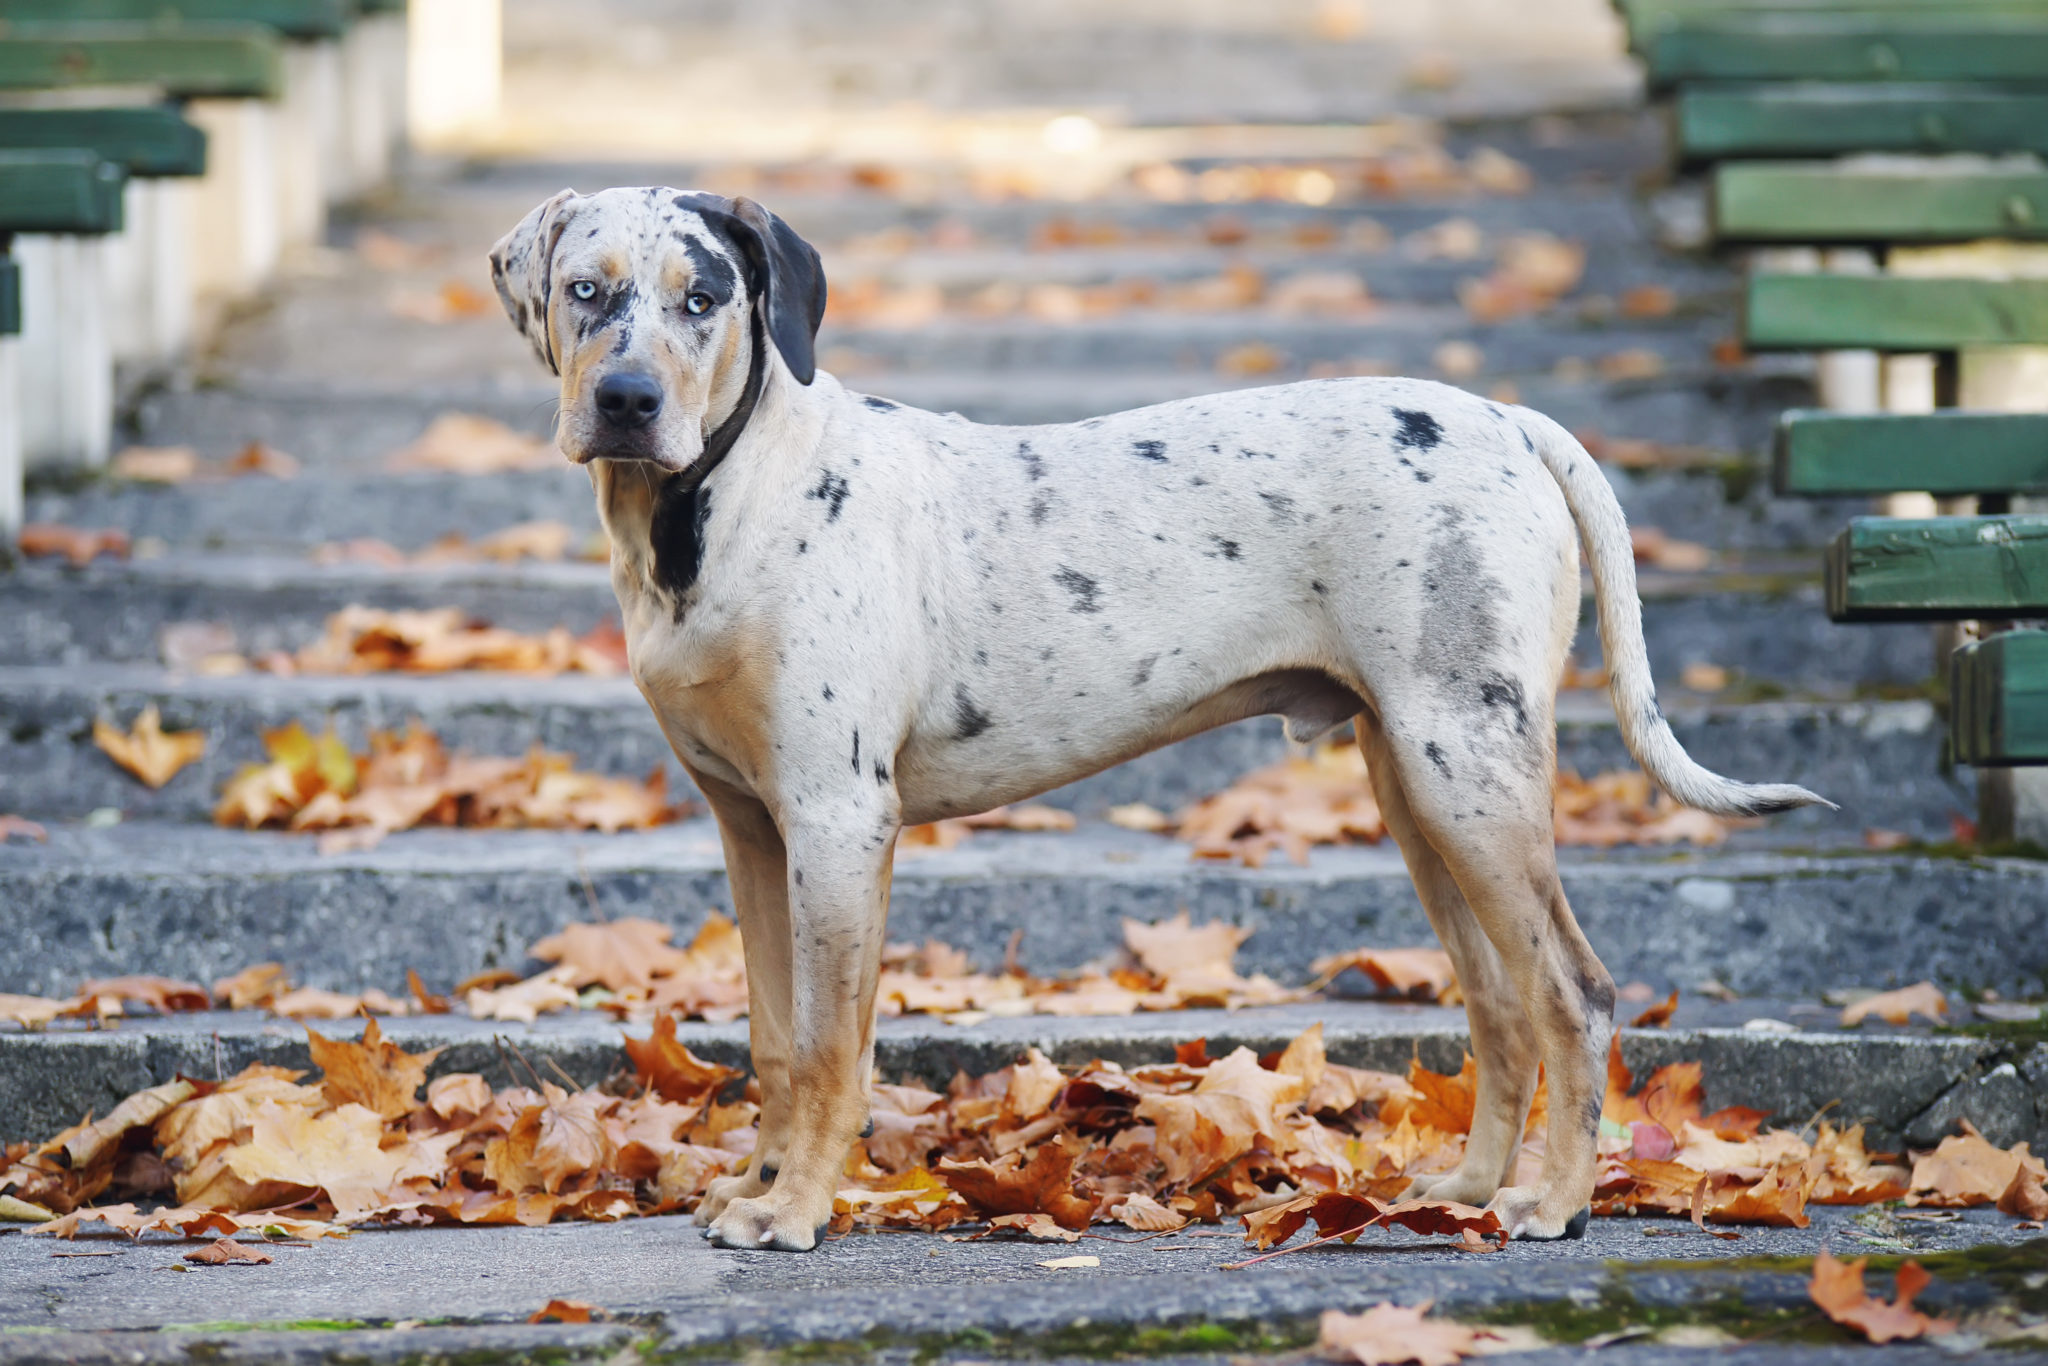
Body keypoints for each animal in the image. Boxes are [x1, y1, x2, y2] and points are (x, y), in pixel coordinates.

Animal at [487, 187, 1835, 1253]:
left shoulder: (834, 821)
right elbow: (773, 1039)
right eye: (585, 290)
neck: (716, 505)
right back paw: (1460, 1187)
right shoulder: (751, 830)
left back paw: (1552, 1203)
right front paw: (756, 1186)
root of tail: (1509, 422)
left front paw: (795, 1210)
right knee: (1500, 1001)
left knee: (1574, 991)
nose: (624, 399)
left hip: (1470, 773)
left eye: (702, 296)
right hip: (1417, 784)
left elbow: (827, 1047)